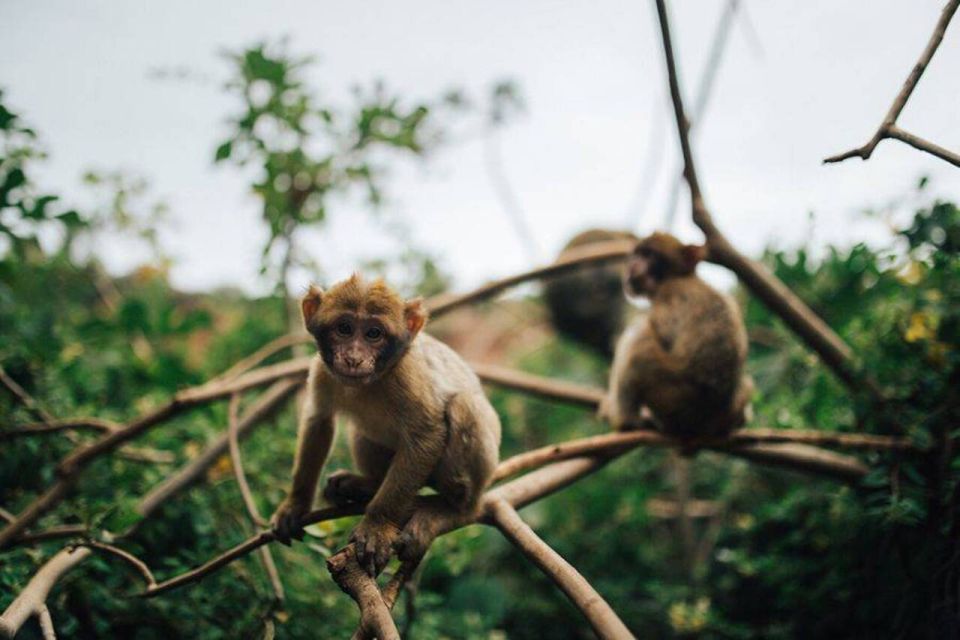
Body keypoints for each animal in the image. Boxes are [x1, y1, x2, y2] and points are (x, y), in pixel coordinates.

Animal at [266, 274, 498, 576]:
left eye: (374, 334)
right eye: (344, 328)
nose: (353, 358)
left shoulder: (406, 376)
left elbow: (425, 436)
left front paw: (377, 526)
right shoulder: (321, 371)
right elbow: (319, 421)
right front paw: (295, 504)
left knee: (463, 405)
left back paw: (446, 508)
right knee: (362, 432)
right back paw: (364, 486)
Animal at [596, 232, 752, 438]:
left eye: (649, 255)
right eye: (637, 254)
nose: (633, 264)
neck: (677, 277)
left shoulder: (668, 296)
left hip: (674, 399)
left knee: (637, 339)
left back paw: (626, 423)